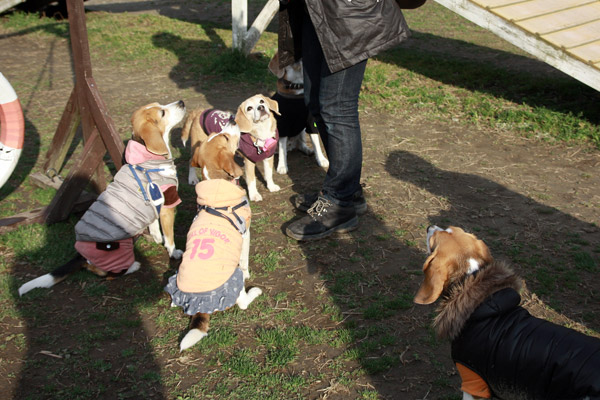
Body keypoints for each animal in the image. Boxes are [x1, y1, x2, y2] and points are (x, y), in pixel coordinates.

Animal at [18, 101, 185, 296]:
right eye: (162, 112)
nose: (181, 102)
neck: (147, 159)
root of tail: (81, 256)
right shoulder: (168, 205)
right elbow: (169, 236)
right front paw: (174, 252)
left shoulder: (153, 205)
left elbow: (154, 225)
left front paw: (157, 237)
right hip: (120, 250)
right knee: (104, 273)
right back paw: (133, 266)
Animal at [165, 131, 262, 350]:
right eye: (225, 137)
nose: (233, 124)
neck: (217, 185)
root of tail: (200, 306)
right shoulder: (246, 233)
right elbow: (245, 260)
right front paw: (248, 274)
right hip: (234, 279)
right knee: (243, 303)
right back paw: (254, 292)